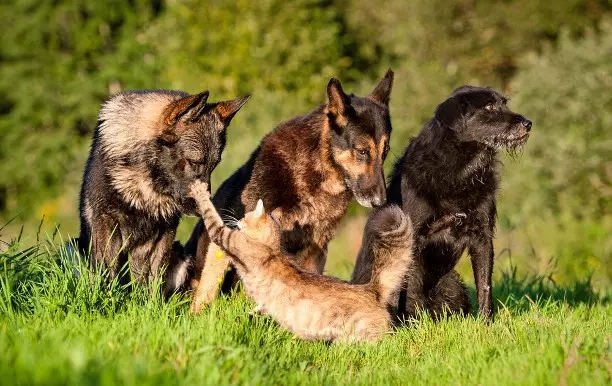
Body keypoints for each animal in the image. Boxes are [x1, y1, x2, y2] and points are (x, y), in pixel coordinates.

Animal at [77, 89, 250, 296]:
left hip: (181, 256)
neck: (148, 183)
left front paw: (151, 303)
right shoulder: (106, 224)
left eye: (213, 166)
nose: (206, 205)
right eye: (193, 162)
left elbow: (154, 279)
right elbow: (107, 273)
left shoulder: (165, 231)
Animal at [186, 69, 394, 310]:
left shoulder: (315, 250)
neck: (314, 173)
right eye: (361, 151)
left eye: (385, 152)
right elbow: (206, 293)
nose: (381, 201)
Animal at [189, 179, 414, 342]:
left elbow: (212, 216)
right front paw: (249, 313)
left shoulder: (225, 237)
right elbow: (259, 308)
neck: (272, 248)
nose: (239, 219)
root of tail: (372, 289)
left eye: (246, 216)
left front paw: (200, 192)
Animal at [388, 86, 532, 322]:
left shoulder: (482, 236)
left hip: (452, 284)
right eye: (489, 107)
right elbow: (406, 287)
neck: (460, 172)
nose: (528, 123)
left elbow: (485, 285)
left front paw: (486, 323)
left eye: (504, 103)